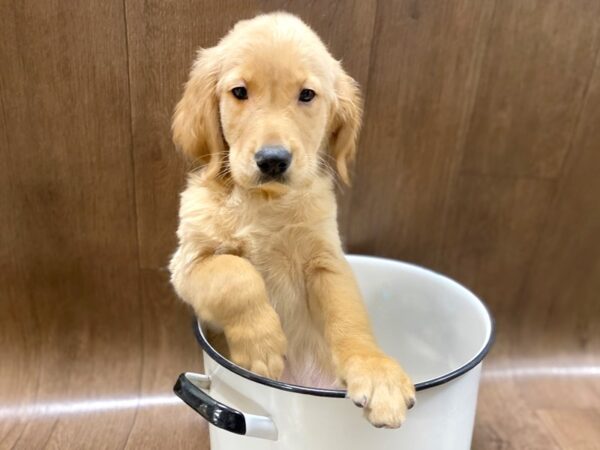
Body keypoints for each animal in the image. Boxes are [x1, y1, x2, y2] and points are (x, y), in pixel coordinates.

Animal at [168, 9, 412, 426]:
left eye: (307, 95)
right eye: (239, 92)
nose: (272, 160)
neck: (265, 202)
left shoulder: (326, 262)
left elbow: (350, 318)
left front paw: (376, 371)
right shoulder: (189, 263)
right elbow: (236, 274)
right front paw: (261, 345)